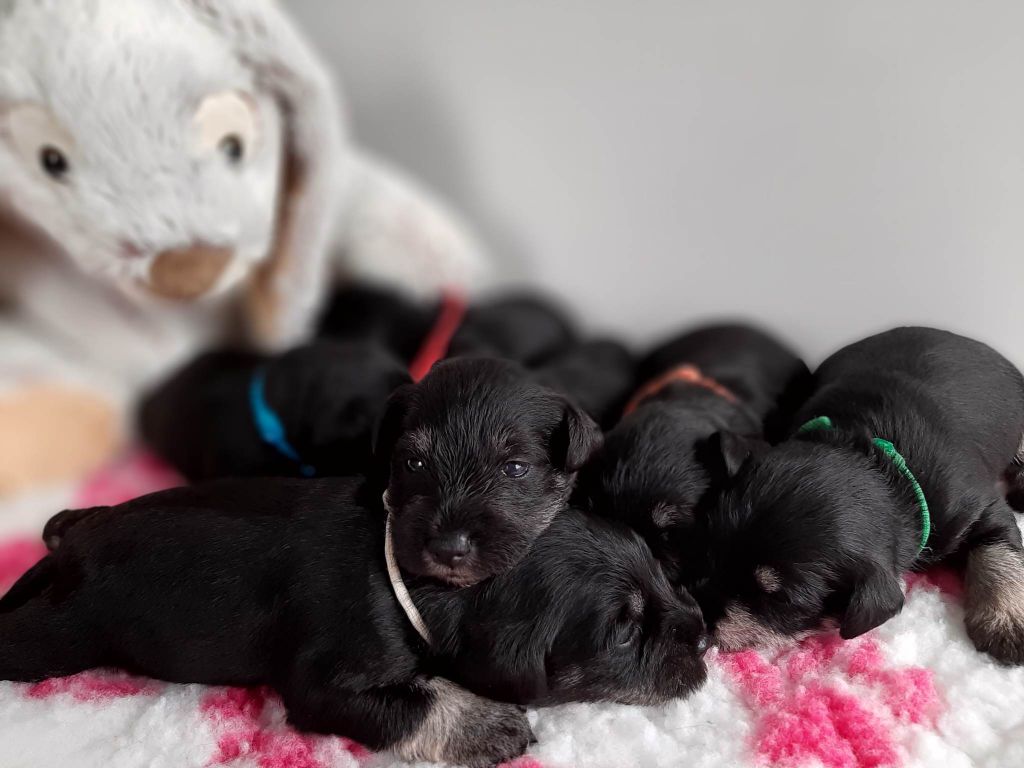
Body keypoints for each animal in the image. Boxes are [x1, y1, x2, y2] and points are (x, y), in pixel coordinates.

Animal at [0, 479, 712, 765]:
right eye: (624, 630)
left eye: (658, 564)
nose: (704, 632)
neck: (411, 573)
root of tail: (70, 555)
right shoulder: (326, 682)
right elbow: (415, 701)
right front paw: (487, 724)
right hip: (59, 635)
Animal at [700, 327, 1024, 663]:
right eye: (709, 553)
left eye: (779, 601)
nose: (700, 627)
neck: (877, 460)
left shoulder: (982, 508)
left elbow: (997, 553)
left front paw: (1006, 623)